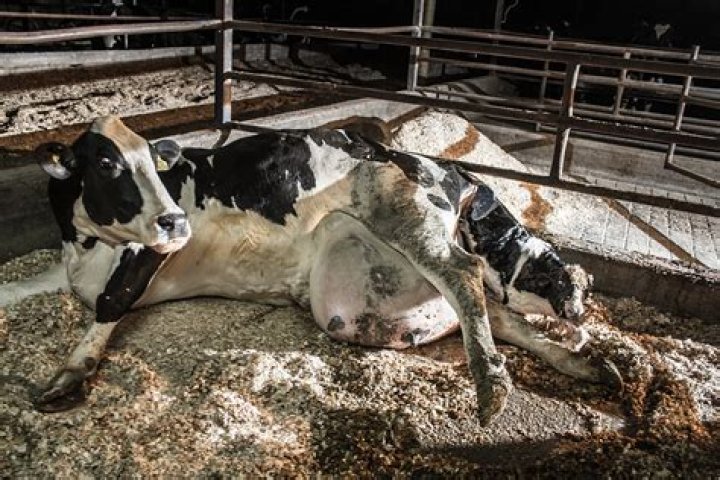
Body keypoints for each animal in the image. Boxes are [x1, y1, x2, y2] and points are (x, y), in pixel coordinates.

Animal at [8, 115, 620, 424]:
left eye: (152, 166)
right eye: (106, 162)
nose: (175, 220)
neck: (84, 241)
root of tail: (443, 165)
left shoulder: (147, 253)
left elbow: (111, 301)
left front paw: (70, 374)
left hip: (405, 211)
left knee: (465, 275)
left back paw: (492, 385)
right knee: (499, 313)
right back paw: (586, 366)